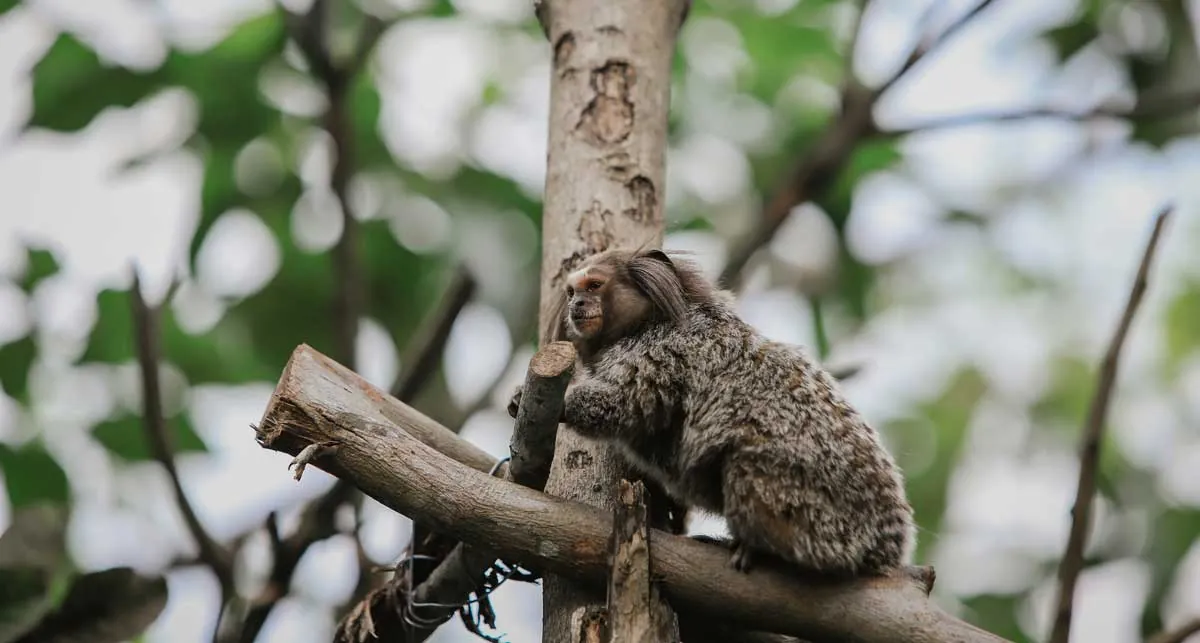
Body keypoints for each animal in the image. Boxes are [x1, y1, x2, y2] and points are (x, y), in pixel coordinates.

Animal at [508, 247, 915, 577]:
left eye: (594, 286)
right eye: (571, 292)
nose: (577, 305)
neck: (645, 324)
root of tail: (886, 542)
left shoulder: (662, 353)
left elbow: (624, 405)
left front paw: (564, 401)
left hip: (819, 515)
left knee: (745, 461)